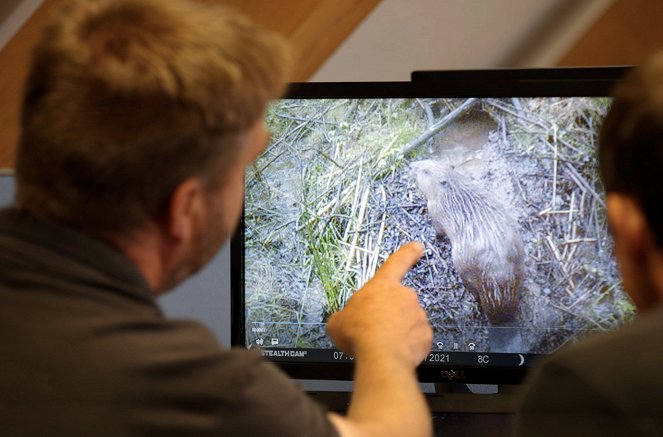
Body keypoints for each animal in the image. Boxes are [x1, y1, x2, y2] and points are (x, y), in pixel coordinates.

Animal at [410, 158, 524, 326]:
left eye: (426, 171)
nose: (411, 165)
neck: (451, 191)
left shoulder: (435, 210)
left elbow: (438, 230)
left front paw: (434, 238)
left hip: (463, 268)